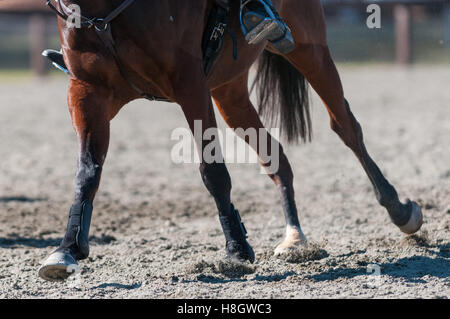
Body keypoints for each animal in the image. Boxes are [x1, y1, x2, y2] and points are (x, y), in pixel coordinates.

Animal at [37, 0, 422, 282]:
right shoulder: (86, 93)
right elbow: (87, 172)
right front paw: (67, 248)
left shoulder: (189, 82)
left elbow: (213, 171)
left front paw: (236, 249)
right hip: (229, 90)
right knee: (275, 156)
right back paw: (294, 236)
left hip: (309, 48)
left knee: (346, 127)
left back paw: (399, 209)